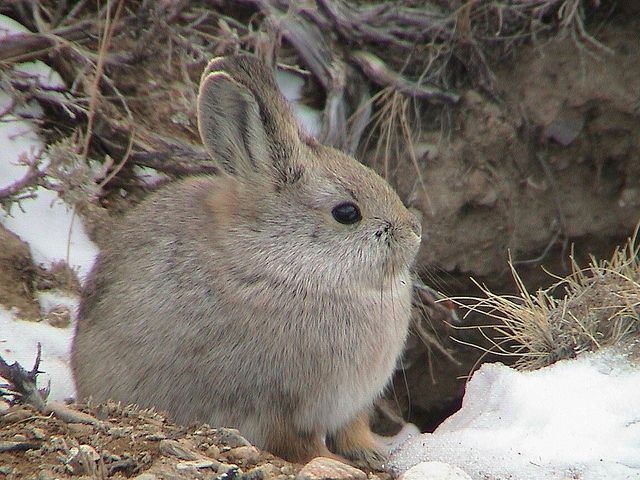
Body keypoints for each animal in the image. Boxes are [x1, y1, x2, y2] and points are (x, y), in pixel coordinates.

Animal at [71, 54, 422, 468]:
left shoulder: (352, 404)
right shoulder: (280, 405)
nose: (414, 232)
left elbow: (354, 430)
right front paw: (335, 464)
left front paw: (374, 456)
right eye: (347, 213)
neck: (285, 263)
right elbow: (301, 445)